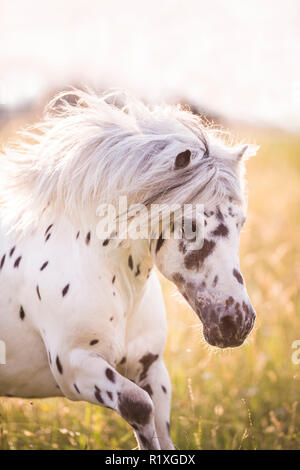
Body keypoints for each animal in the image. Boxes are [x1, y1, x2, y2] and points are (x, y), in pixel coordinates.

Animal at [0, 91, 258, 448]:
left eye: (241, 223)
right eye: (190, 225)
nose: (237, 322)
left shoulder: (151, 367)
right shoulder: (76, 368)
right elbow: (139, 406)